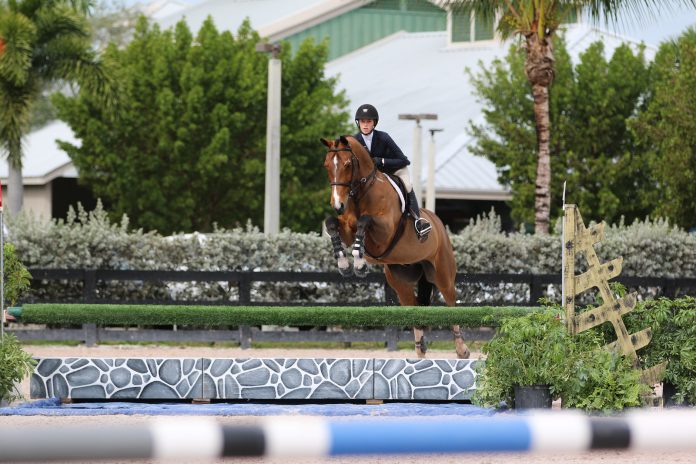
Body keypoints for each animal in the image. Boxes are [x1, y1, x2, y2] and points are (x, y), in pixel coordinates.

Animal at [321, 135, 470, 359]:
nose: (338, 205)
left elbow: (364, 221)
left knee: (451, 303)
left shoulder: (384, 232)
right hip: (399, 280)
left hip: (442, 273)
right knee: (413, 305)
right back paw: (420, 349)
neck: (361, 194)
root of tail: (438, 223)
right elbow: (332, 223)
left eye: (347, 164)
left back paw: (462, 349)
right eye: (327, 165)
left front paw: (359, 263)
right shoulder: (347, 227)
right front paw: (344, 263)